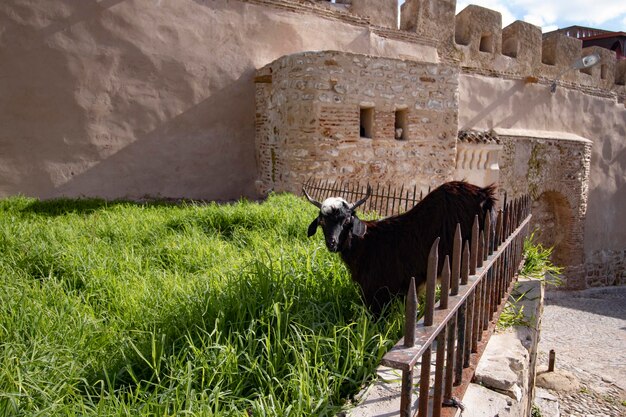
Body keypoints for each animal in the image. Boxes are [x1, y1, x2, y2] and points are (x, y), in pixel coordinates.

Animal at [304, 180, 494, 310]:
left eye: (346, 221)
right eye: (322, 222)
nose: (332, 243)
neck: (365, 243)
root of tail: (484, 194)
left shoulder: (377, 291)